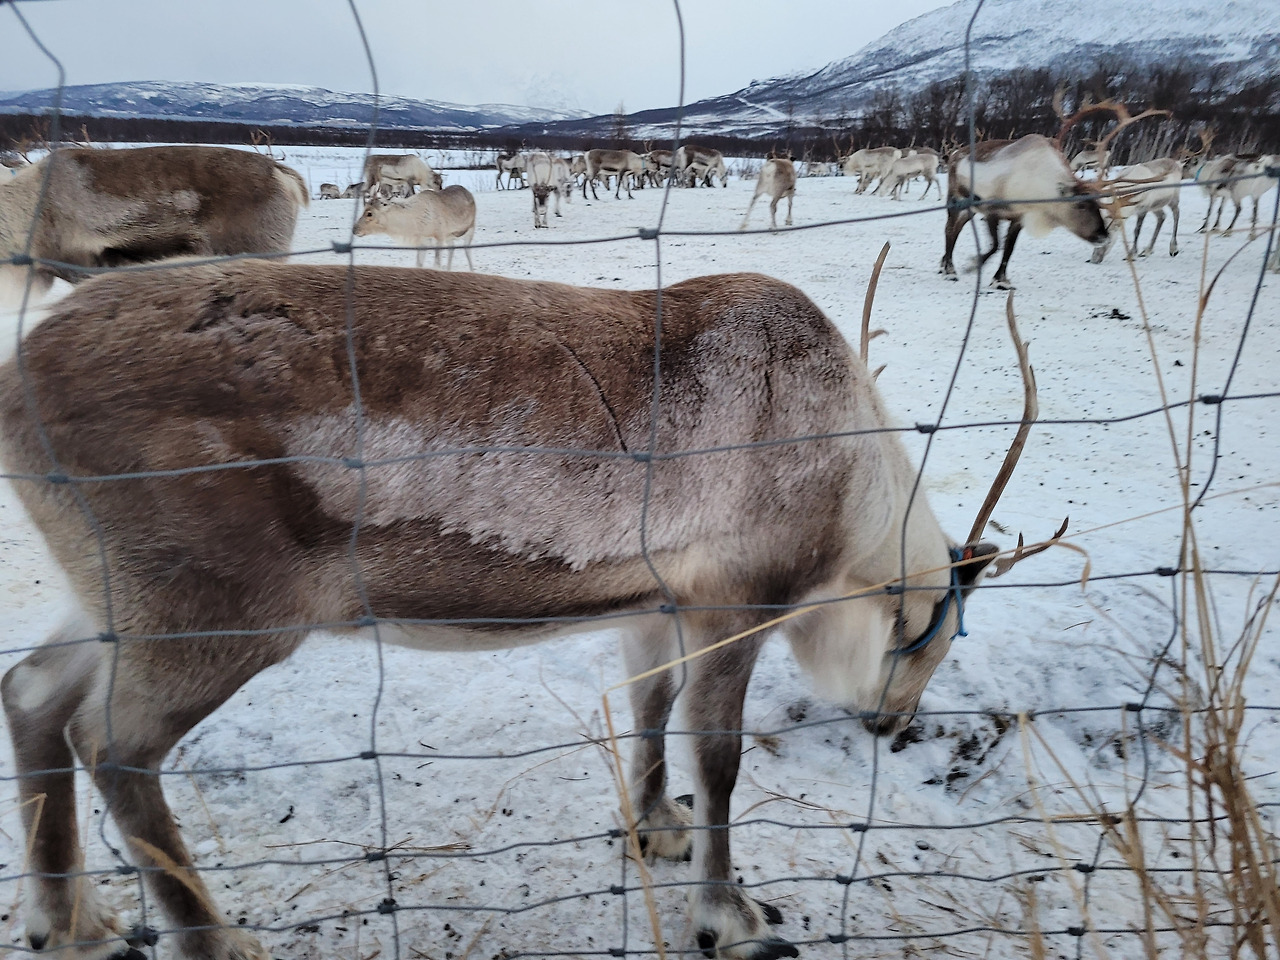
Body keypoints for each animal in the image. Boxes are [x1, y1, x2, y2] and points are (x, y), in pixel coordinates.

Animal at [0, 257, 1058, 960]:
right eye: (934, 639)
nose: (892, 724)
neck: (852, 500)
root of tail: (14, 386)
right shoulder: (737, 601)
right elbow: (718, 758)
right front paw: (731, 916)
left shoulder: (654, 602)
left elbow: (649, 708)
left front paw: (653, 824)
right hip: (215, 610)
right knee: (113, 743)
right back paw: (212, 941)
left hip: (116, 595)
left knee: (34, 691)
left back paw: (68, 920)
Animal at [941, 135, 1108, 289]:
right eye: (1081, 205)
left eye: (1098, 205)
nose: (1104, 236)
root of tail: (955, 153)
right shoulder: (992, 211)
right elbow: (996, 244)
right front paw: (973, 265)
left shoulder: (1019, 219)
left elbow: (1008, 248)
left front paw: (1000, 280)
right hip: (955, 201)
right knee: (949, 230)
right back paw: (950, 270)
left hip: (970, 210)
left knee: (956, 229)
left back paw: (943, 264)